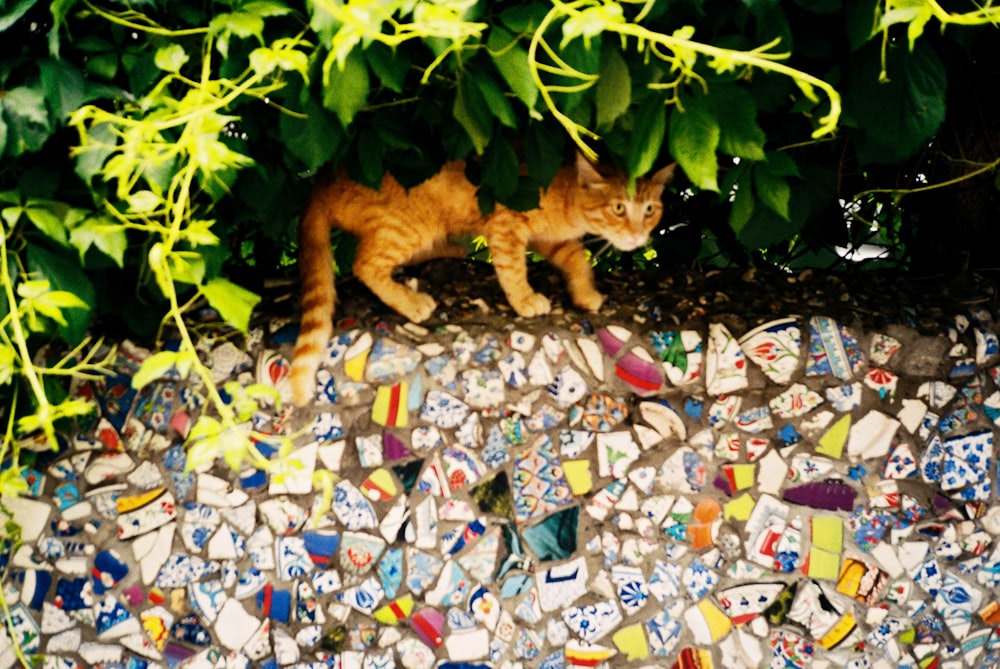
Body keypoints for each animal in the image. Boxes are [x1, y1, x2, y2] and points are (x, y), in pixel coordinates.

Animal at [292, 152, 676, 404]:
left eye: (650, 209)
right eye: (619, 208)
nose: (638, 236)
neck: (569, 197)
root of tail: (322, 180)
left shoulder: (554, 241)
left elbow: (578, 261)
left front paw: (585, 294)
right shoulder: (507, 225)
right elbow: (513, 268)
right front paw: (525, 300)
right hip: (410, 224)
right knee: (364, 264)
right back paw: (411, 302)